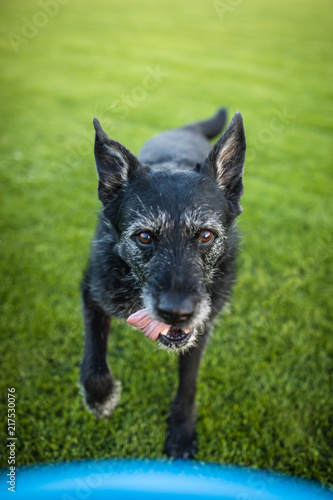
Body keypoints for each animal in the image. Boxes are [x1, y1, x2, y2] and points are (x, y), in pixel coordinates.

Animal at [80, 108, 245, 458]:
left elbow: (189, 381)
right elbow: (93, 357)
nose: (176, 312)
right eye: (144, 237)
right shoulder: (92, 292)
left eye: (206, 235)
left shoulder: (202, 326)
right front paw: (100, 397)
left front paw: (181, 429)